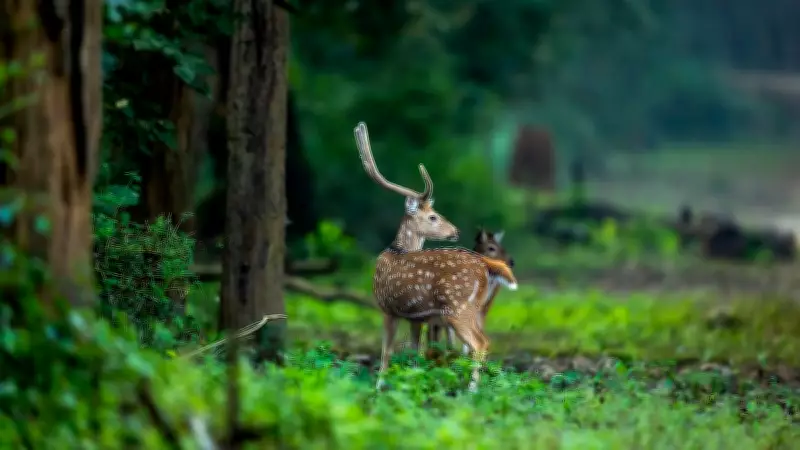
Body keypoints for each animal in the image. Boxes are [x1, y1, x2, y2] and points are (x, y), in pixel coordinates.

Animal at [354, 121, 518, 393]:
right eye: (433, 216)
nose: (456, 231)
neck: (394, 250)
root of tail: (485, 264)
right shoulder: (416, 318)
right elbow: (415, 353)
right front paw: (411, 382)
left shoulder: (387, 307)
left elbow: (387, 352)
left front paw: (379, 387)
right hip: (473, 309)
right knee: (479, 342)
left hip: (457, 307)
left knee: (479, 343)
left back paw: (471, 390)